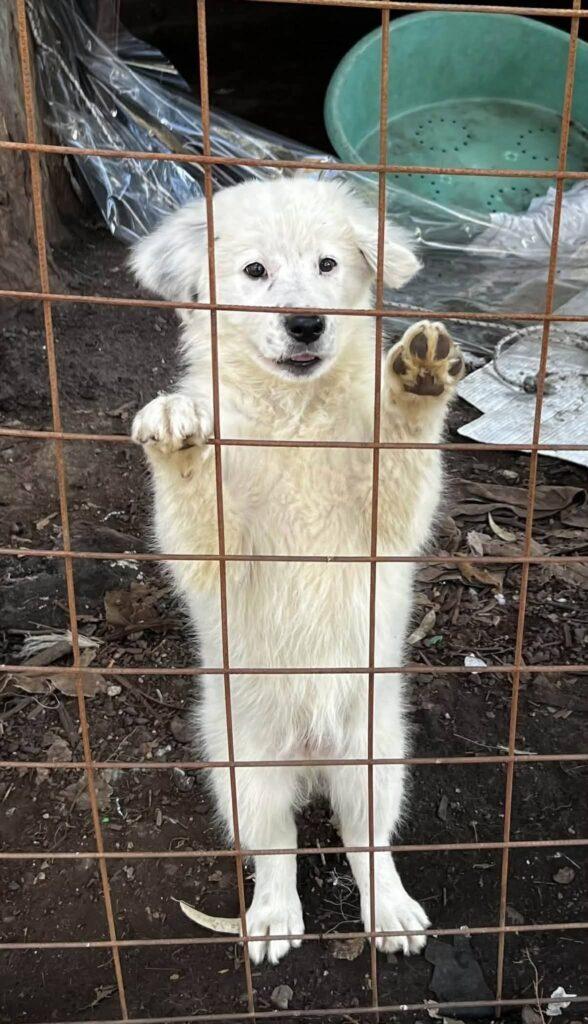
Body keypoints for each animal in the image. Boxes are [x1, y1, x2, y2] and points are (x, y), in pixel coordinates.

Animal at [131, 176, 464, 964]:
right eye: (254, 272)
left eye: (326, 265)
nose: (306, 323)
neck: (297, 416)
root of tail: (311, 757)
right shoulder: (219, 556)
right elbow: (194, 504)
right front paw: (177, 430)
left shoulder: (383, 524)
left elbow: (402, 449)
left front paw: (416, 381)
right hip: (243, 770)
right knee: (277, 848)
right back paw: (275, 919)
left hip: (377, 754)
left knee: (366, 842)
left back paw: (391, 912)